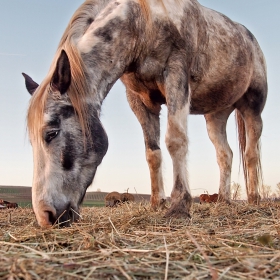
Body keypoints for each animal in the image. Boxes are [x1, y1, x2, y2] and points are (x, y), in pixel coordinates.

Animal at [22, 0, 266, 228]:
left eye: (51, 133)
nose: (44, 216)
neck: (143, 23)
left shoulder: (176, 76)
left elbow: (175, 141)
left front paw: (180, 206)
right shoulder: (139, 100)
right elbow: (152, 153)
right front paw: (157, 203)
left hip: (252, 107)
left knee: (251, 153)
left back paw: (254, 199)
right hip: (216, 115)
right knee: (225, 155)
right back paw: (224, 200)